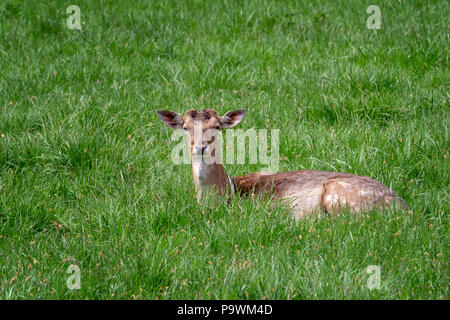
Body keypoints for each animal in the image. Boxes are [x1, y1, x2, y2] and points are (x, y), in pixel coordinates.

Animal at [156, 108, 406, 220]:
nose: (200, 148)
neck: (228, 192)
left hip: (340, 194)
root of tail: (403, 208)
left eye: (217, 126)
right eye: (185, 127)